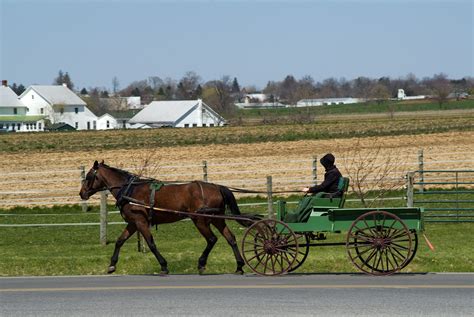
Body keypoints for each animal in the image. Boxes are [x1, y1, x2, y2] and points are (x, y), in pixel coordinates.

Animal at [80, 160, 256, 274]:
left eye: (88, 177)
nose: (81, 193)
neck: (130, 190)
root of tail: (217, 187)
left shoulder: (140, 222)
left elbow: (151, 244)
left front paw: (164, 266)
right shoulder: (133, 223)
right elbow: (119, 241)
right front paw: (112, 265)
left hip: (200, 220)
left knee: (212, 239)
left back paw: (201, 264)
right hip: (216, 218)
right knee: (230, 238)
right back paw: (239, 266)